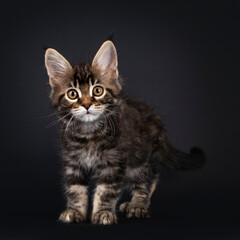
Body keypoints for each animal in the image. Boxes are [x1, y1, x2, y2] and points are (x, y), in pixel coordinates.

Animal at [44, 39, 204, 225]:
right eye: (72, 94)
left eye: (97, 90)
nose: (86, 104)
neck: (89, 133)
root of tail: (155, 119)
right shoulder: (73, 161)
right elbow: (75, 189)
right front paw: (75, 211)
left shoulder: (113, 161)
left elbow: (106, 190)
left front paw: (103, 213)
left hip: (137, 158)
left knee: (148, 177)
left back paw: (138, 205)